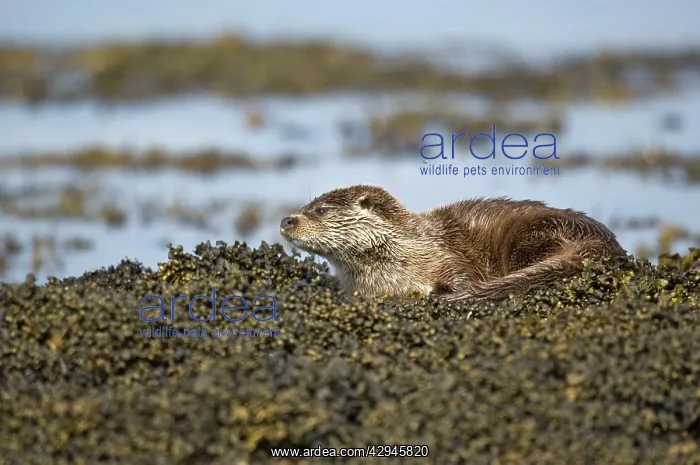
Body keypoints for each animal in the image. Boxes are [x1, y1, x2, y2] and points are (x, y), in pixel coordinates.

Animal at [279, 185, 627, 302]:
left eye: (320, 210)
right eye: (306, 206)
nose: (286, 220)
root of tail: (603, 238)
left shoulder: (447, 258)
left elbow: (464, 278)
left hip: (533, 235)